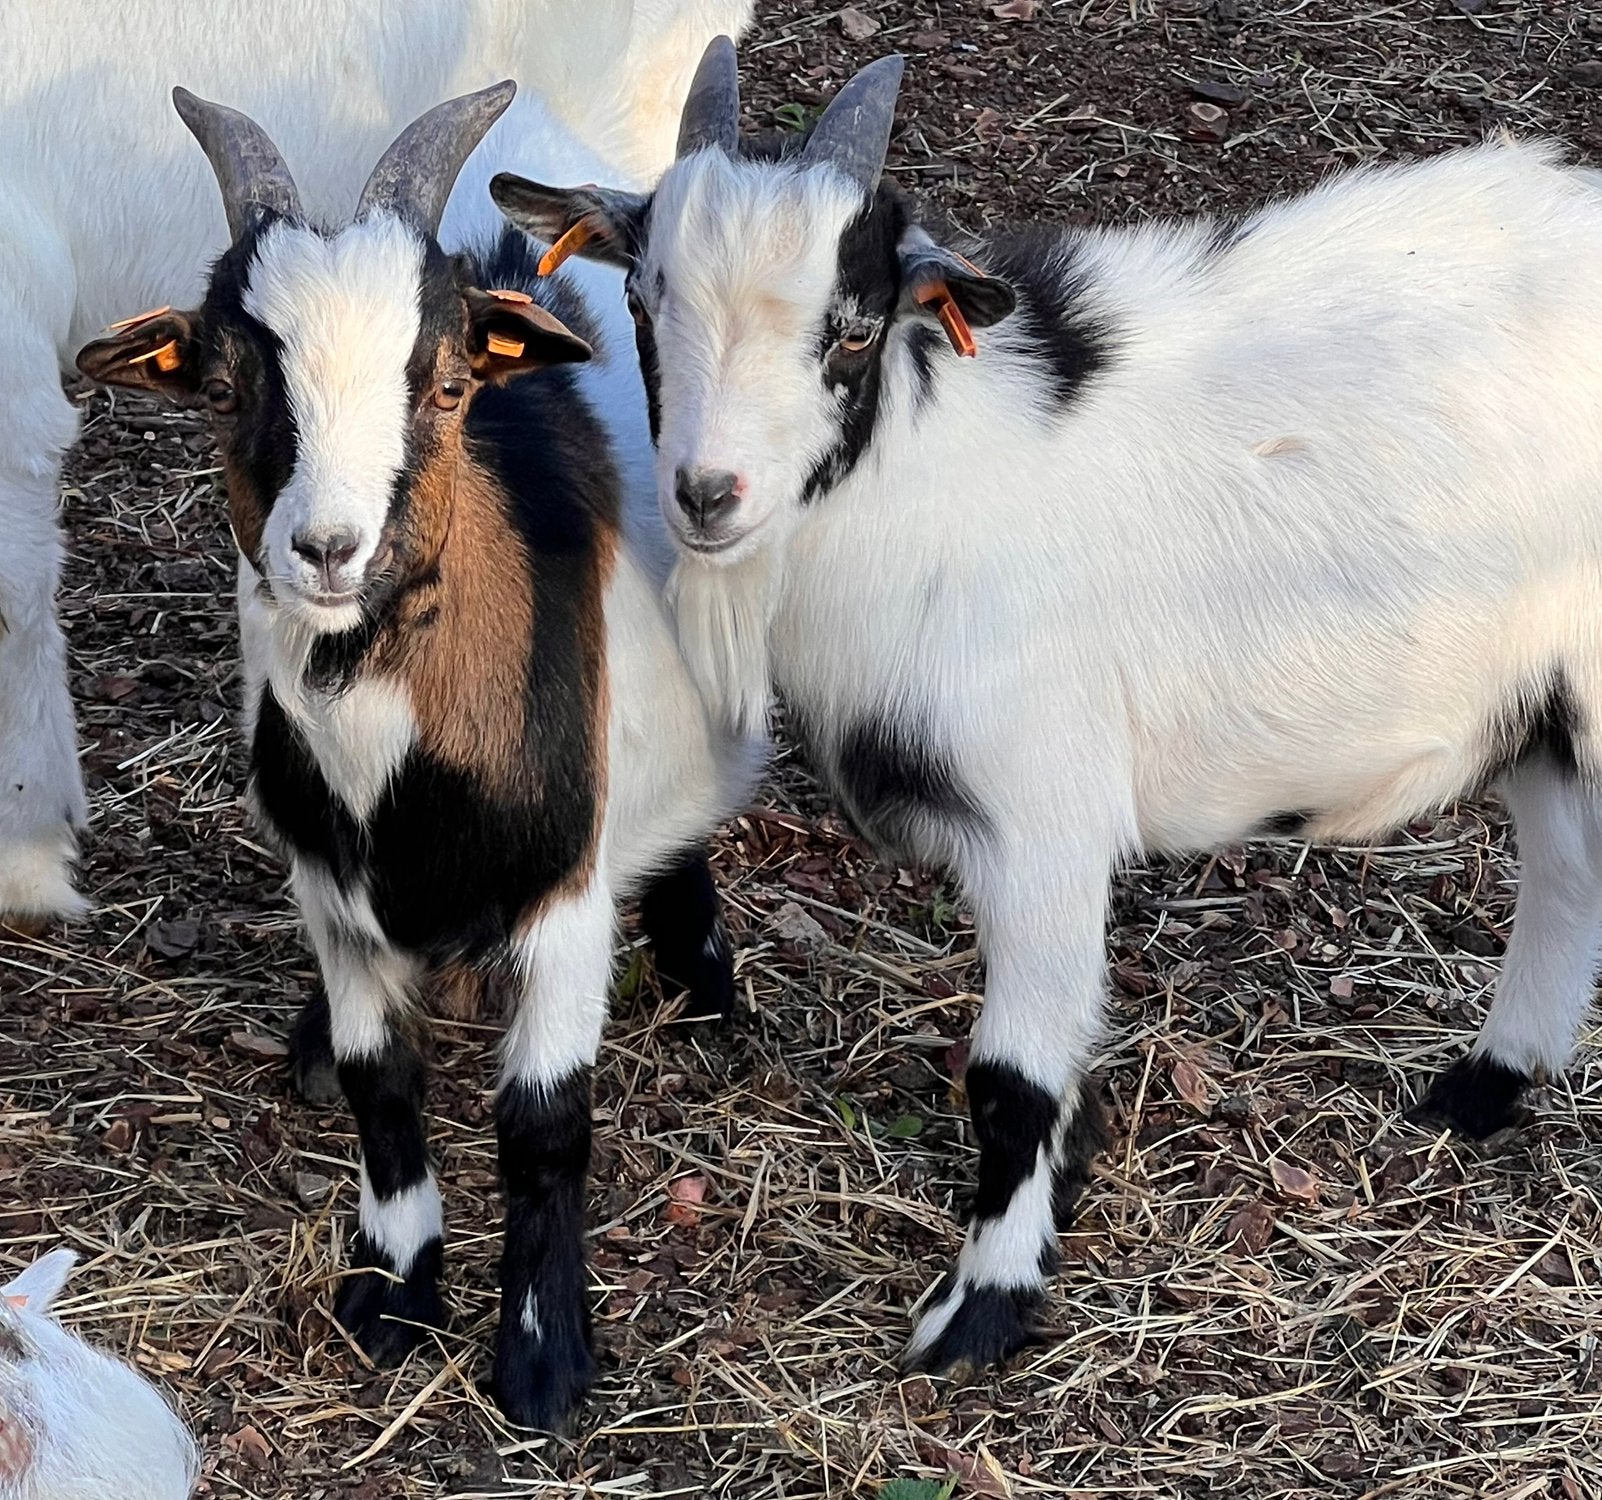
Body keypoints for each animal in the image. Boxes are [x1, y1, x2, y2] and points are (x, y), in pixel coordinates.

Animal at [76, 84, 760, 1430]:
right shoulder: (332, 900)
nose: (329, 549)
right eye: (221, 390)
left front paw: (543, 1360)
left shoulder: (562, 904)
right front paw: (395, 1289)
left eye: (446, 386)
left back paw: (700, 966)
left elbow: (543, 1124)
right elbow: (379, 1086)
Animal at [492, 39, 1602, 1377]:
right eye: (647, 307)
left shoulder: (1046, 816)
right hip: (1545, 704)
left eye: (851, 329)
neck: (934, 480)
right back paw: (1488, 1087)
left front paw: (981, 1311)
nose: (709, 494)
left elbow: (1012, 1083)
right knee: (1568, 876)